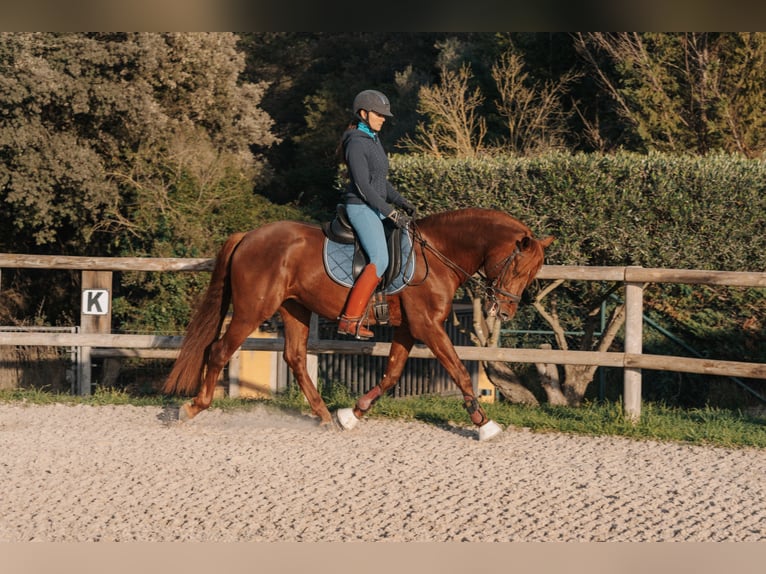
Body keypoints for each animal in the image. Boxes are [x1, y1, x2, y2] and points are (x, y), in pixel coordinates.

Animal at [165, 209, 556, 444]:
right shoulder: (427, 326)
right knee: (219, 351)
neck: (437, 254)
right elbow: (458, 370)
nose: (505, 311)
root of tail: (248, 236)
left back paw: (324, 415)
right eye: (517, 268)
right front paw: (484, 423)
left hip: (295, 309)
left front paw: (351, 415)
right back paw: (192, 407)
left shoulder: (408, 328)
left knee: (295, 358)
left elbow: (392, 374)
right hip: (253, 309)